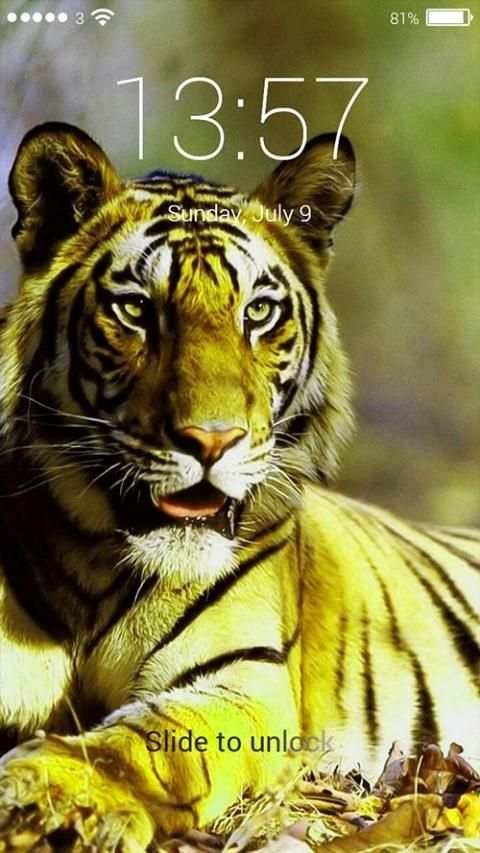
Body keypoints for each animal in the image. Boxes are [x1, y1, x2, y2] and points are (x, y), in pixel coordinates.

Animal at [0, 121, 478, 849]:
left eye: (257, 312)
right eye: (136, 310)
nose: (211, 440)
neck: (97, 569)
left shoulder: (241, 684)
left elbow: (145, 740)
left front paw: (48, 787)